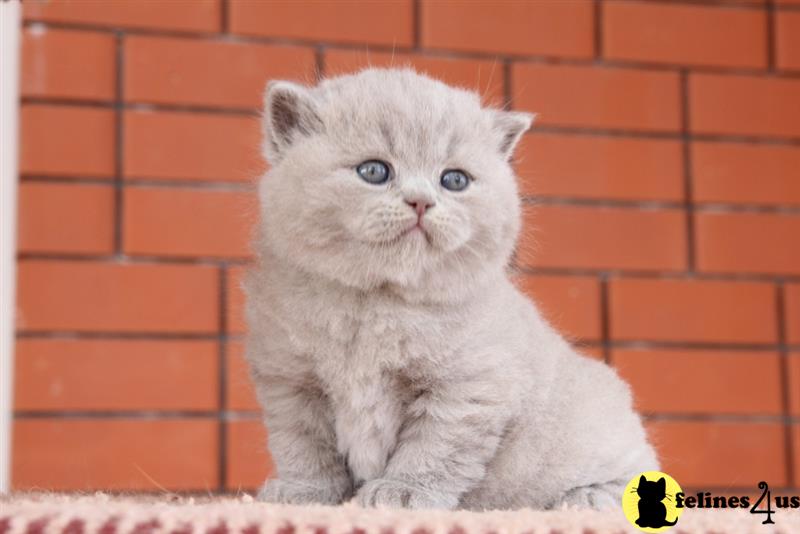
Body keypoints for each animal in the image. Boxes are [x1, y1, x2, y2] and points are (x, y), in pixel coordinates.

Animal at [244, 69, 656, 512]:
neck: (375, 305)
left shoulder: (467, 389)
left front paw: (402, 492)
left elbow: (433, 448)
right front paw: (304, 494)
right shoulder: (291, 382)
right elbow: (304, 447)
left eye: (454, 180)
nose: (421, 201)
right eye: (374, 172)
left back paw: (582, 500)